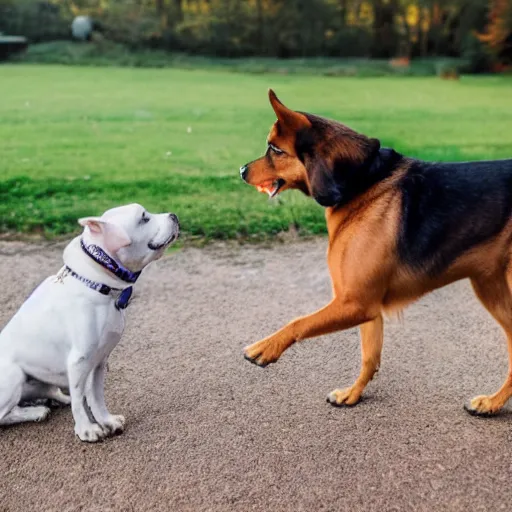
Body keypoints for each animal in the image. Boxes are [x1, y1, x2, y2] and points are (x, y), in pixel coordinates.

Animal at [0, 202, 180, 442]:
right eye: (144, 218)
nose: (174, 215)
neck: (98, 285)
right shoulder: (78, 361)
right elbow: (80, 400)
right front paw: (87, 429)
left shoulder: (99, 361)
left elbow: (95, 396)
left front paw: (106, 421)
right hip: (13, 376)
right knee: (5, 415)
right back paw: (36, 412)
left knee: (51, 392)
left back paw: (52, 401)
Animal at [241, 89, 512, 416]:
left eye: (274, 149)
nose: (241, 170)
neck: (362, 180)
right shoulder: (365, 306)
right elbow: (370, 357)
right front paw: (353, 394)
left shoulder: (354, 303)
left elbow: (299, 322)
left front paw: (265, 347)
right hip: (491, 288)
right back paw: (493, 403)